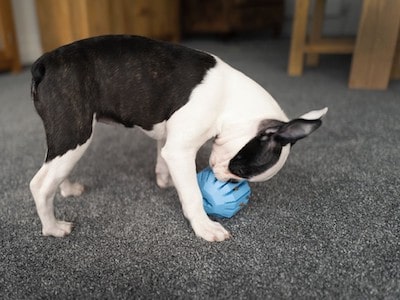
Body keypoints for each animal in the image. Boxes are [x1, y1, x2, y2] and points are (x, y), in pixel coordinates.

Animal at [28, 35, 328, 241]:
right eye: (240, 170)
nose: (228, 181)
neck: (230, 101)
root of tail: (44, 62)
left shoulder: (170, 142)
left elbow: (163, 158)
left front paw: (166, 181)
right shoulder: (180, 150)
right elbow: (193, 195)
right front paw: (205, 226)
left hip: (65, 136)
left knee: (53, 167)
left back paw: (67, 189)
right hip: (75, 132)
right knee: (40, 185)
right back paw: (53, 227)